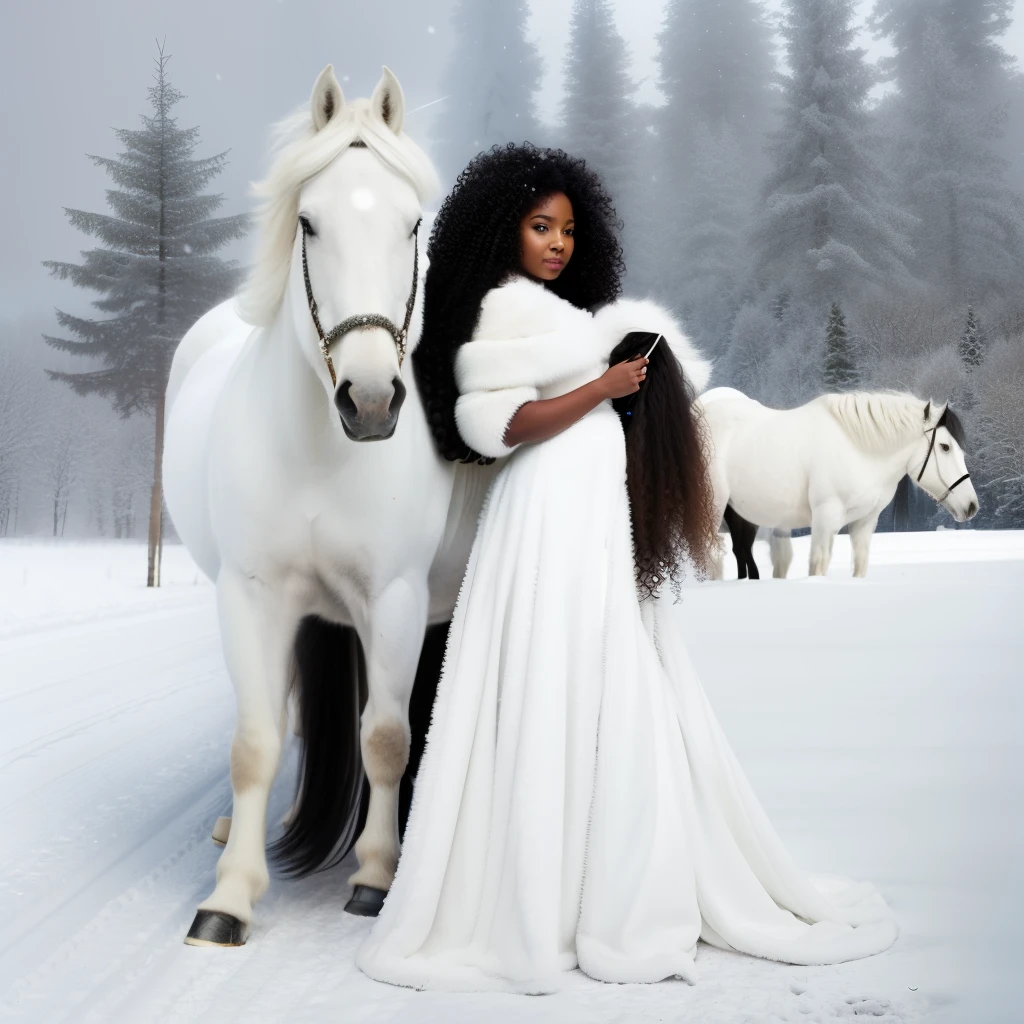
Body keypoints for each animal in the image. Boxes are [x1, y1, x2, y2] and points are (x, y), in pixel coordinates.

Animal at [165, 61, 497, 942]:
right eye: (309, 224)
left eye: (413, 226)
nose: (371, 399)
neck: (319, 454)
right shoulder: (253, 597)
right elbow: (256, 740)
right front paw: (229, 897)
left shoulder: (394, 599)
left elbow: (384, 736)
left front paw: (376, 877)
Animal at [700, 385, 978, 581]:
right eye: (945, 447)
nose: (972, 506)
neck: (857, 449)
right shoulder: (825, 519)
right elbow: (818, 566)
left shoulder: (864, 523)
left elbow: (860, 565)